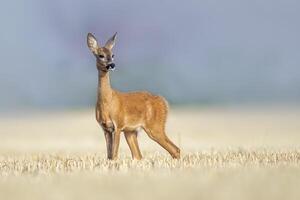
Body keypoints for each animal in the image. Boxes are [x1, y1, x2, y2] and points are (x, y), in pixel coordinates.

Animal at [86, 33, 180, 161]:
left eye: (113, 55)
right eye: (101, 55)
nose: (112, 65)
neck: (107, 101)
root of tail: (163, 102)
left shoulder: (118, 125)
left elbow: (114, 155)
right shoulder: (105, 128)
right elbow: (109, 156)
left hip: (155, 126)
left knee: (175, 149)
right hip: (131, 132)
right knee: (138, 156)